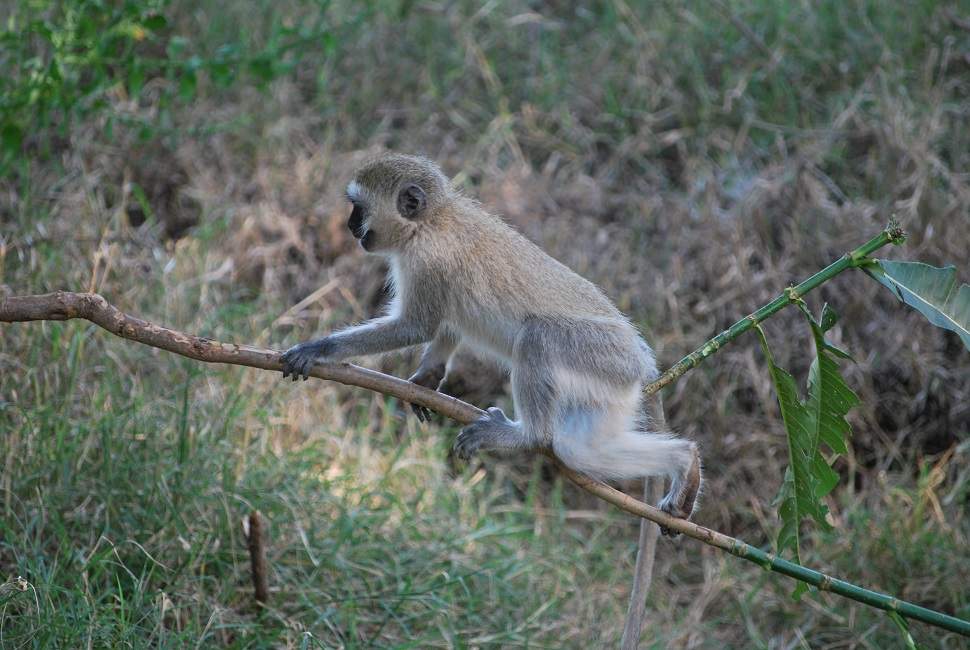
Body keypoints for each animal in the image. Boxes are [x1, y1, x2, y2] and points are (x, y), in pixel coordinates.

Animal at [280, 153, 701, 524]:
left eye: (358, 208)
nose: (349, 226)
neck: (432, 221)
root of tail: (643, 361)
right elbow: (447, 326)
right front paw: (427, 378)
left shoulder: (428, 261)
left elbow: (417, 326)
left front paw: (319, 350)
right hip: (611, 389)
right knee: (583, 451)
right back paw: (686, 462)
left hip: (603, 354)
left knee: (538, 339)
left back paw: (527, 436)